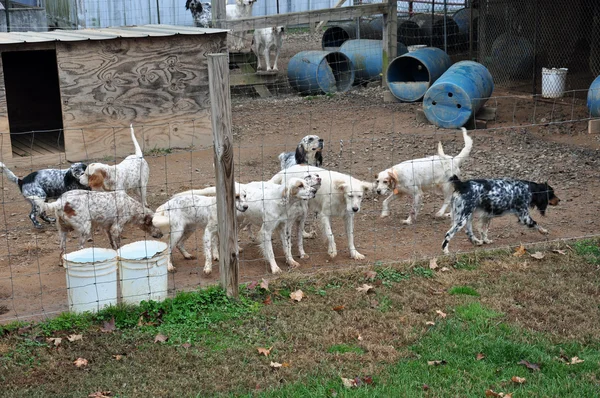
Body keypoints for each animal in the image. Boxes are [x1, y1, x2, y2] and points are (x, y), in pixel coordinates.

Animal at [28, 190, 162, 262]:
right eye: (156, 225)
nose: (161, 234)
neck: (130, 205)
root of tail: (60, 202)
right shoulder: (116, 228)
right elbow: (118, 243)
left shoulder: (108, 228)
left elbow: (112, 243)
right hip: (85, 228)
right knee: (80, 248)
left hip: (62, 231)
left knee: (61, 248)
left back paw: (62, 262)